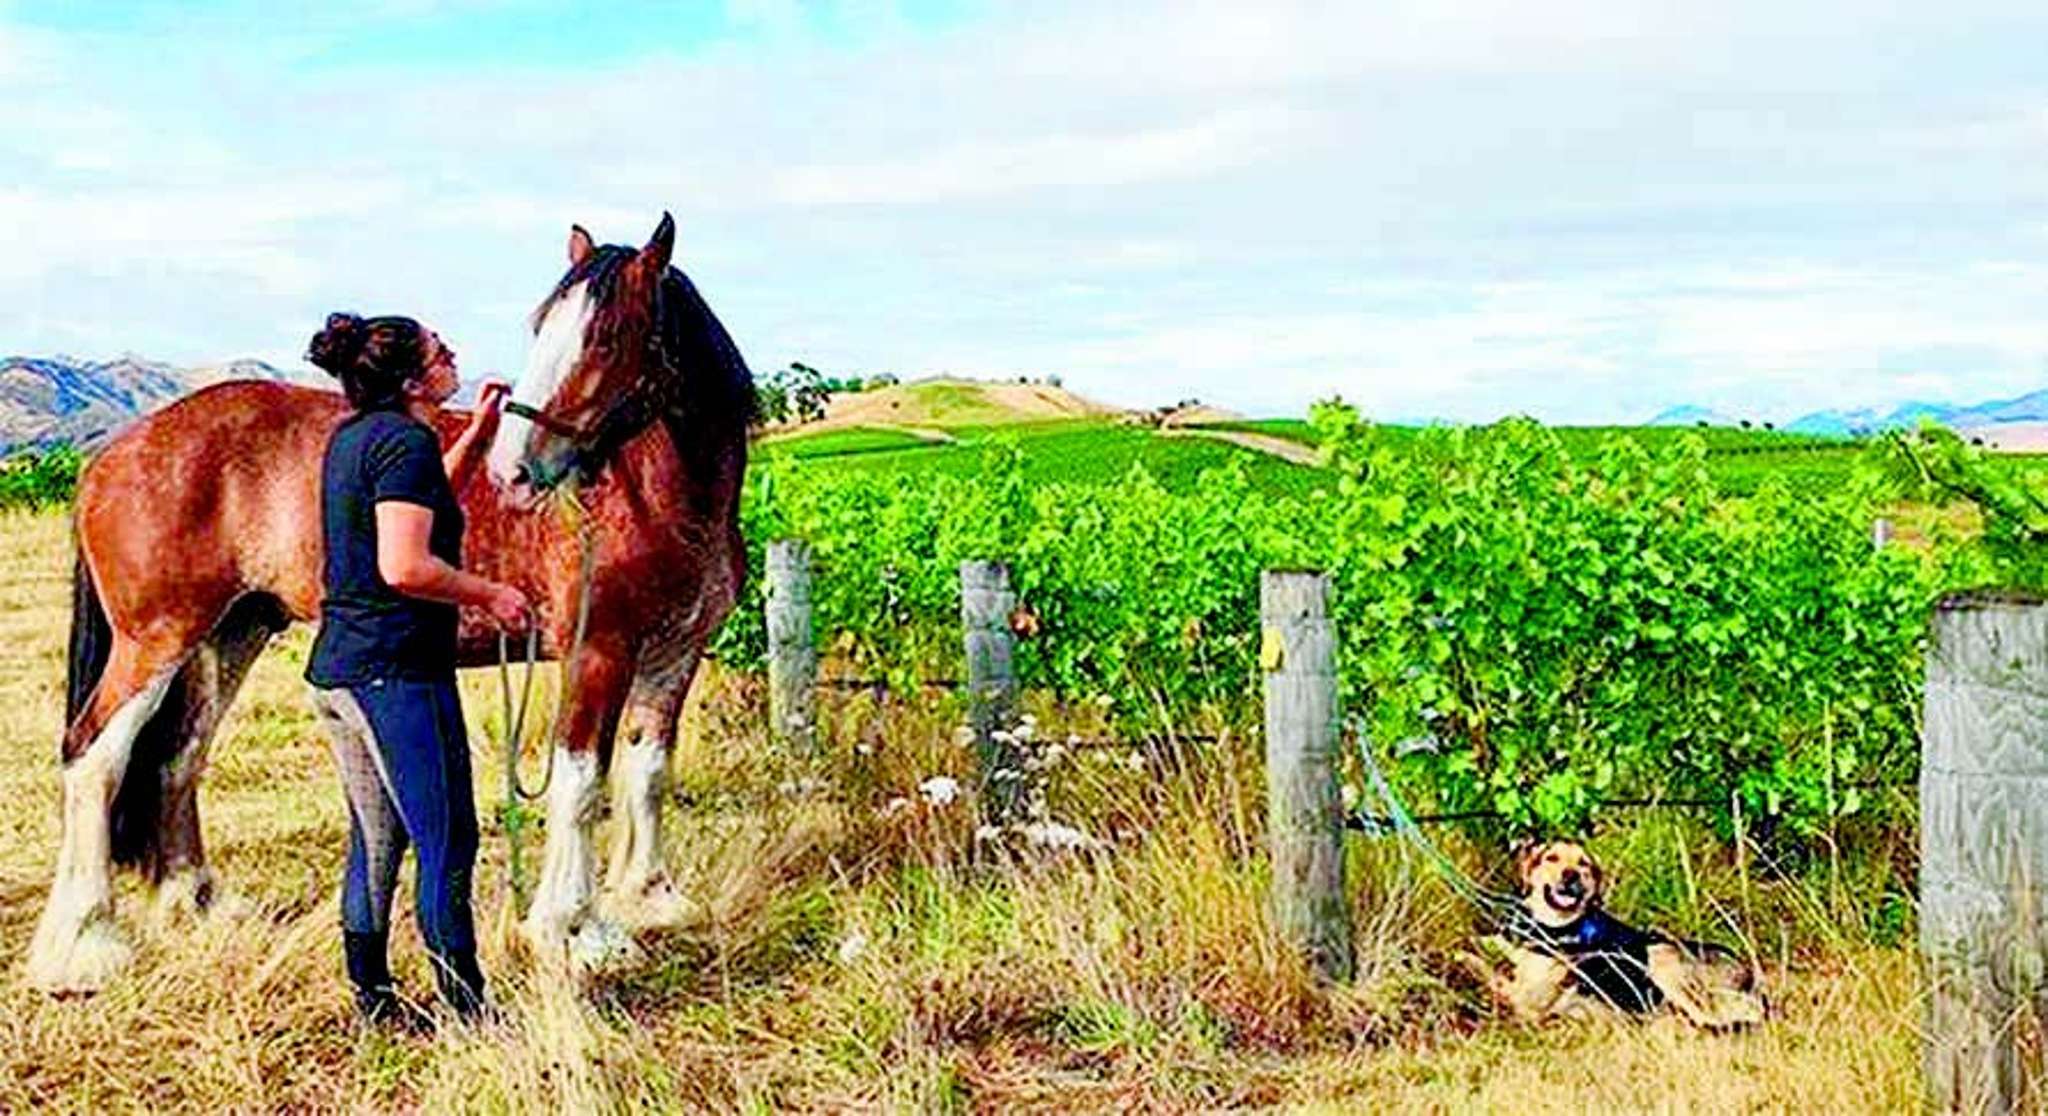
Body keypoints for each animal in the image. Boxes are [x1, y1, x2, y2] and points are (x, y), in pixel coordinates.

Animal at [25, 212, 753, 986]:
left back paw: (200, 905)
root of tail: (113, 451)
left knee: (179, 756)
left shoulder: (673, 654)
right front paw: (572, 929)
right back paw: (81, 946)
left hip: (228, 636)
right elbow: (581, 783)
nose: (512, 471)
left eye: (608, 336)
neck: (651, 496)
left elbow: (648, 772)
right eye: (541, 326)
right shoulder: (599, 652)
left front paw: (652, 898)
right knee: (94, 756)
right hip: (155, 640)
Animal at [1466, 835, 1769, 1027]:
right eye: (1551, 858)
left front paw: (1462, 955)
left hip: (1660, 954)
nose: (1570, 875)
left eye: (1583, 864)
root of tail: (1747, 968)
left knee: (1716, 1015)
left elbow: (1486, 971)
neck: (1555, 927)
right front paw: (1478, 940)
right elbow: (1498, 943)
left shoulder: (1525, 999)